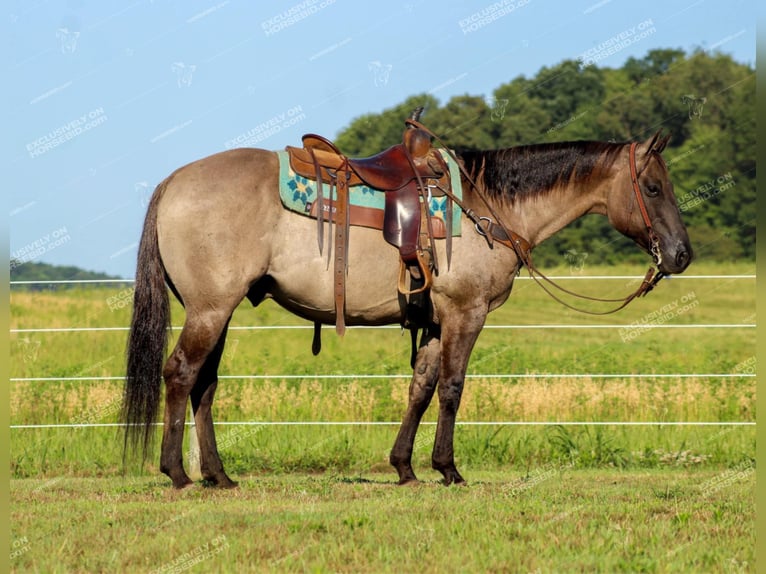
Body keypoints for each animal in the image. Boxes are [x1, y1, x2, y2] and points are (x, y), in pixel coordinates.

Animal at [121, 130, 696, 490]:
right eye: (652, 187)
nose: (681, 255)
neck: (487, 208)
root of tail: (173, 182)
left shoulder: (437, 321)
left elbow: (421, 387)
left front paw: (405, 468)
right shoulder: (467, 313)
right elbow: (453, 388)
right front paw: (449, 469)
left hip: (217, 311)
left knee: (204, 384)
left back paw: (218, 475)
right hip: (210, 310)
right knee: (180, 374)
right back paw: (177, 473)